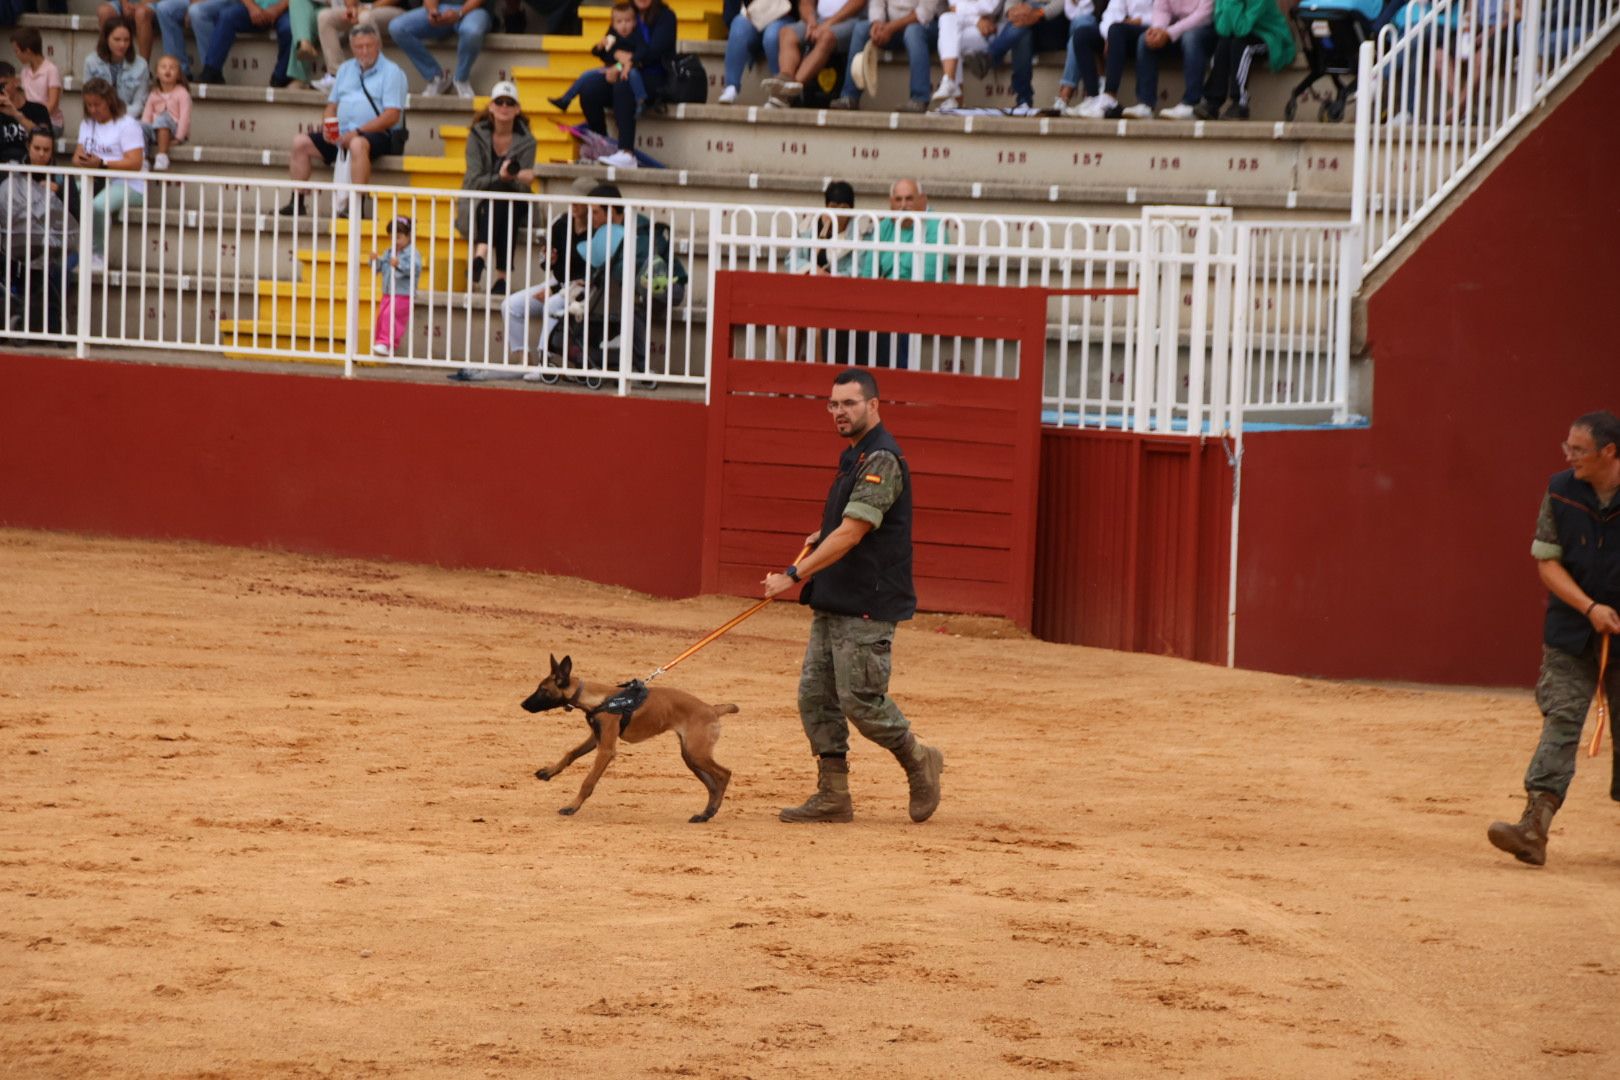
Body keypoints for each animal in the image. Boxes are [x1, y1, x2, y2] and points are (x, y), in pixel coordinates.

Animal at [521, 654, 738, 822]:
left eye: (543, 690)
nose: (523, 704)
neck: (600, 699)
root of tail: (712, 709)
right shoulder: (596, 738)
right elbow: (570, 754)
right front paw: (549, 771)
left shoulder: (606, 750)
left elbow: (588, 782)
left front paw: (572, 806)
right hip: (691, 757)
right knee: (712, 785)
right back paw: (705, 814)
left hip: (697, 754)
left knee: (724, 774)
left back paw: (711, 810)